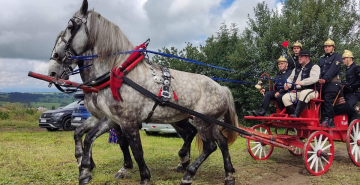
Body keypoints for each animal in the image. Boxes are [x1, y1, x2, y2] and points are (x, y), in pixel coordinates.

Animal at [48, 0, 239, 184]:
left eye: (70, 26)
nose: (53, 67)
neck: (119, 73)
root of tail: (221, 88)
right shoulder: (111, 118)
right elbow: (88, 137)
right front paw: (85, 169)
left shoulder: (128, 121)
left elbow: (136, 150)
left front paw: (143, 176)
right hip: (209, 122)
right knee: (221, 142)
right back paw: (228, 174)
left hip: (201, 121)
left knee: (209, 146)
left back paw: (189, 173)